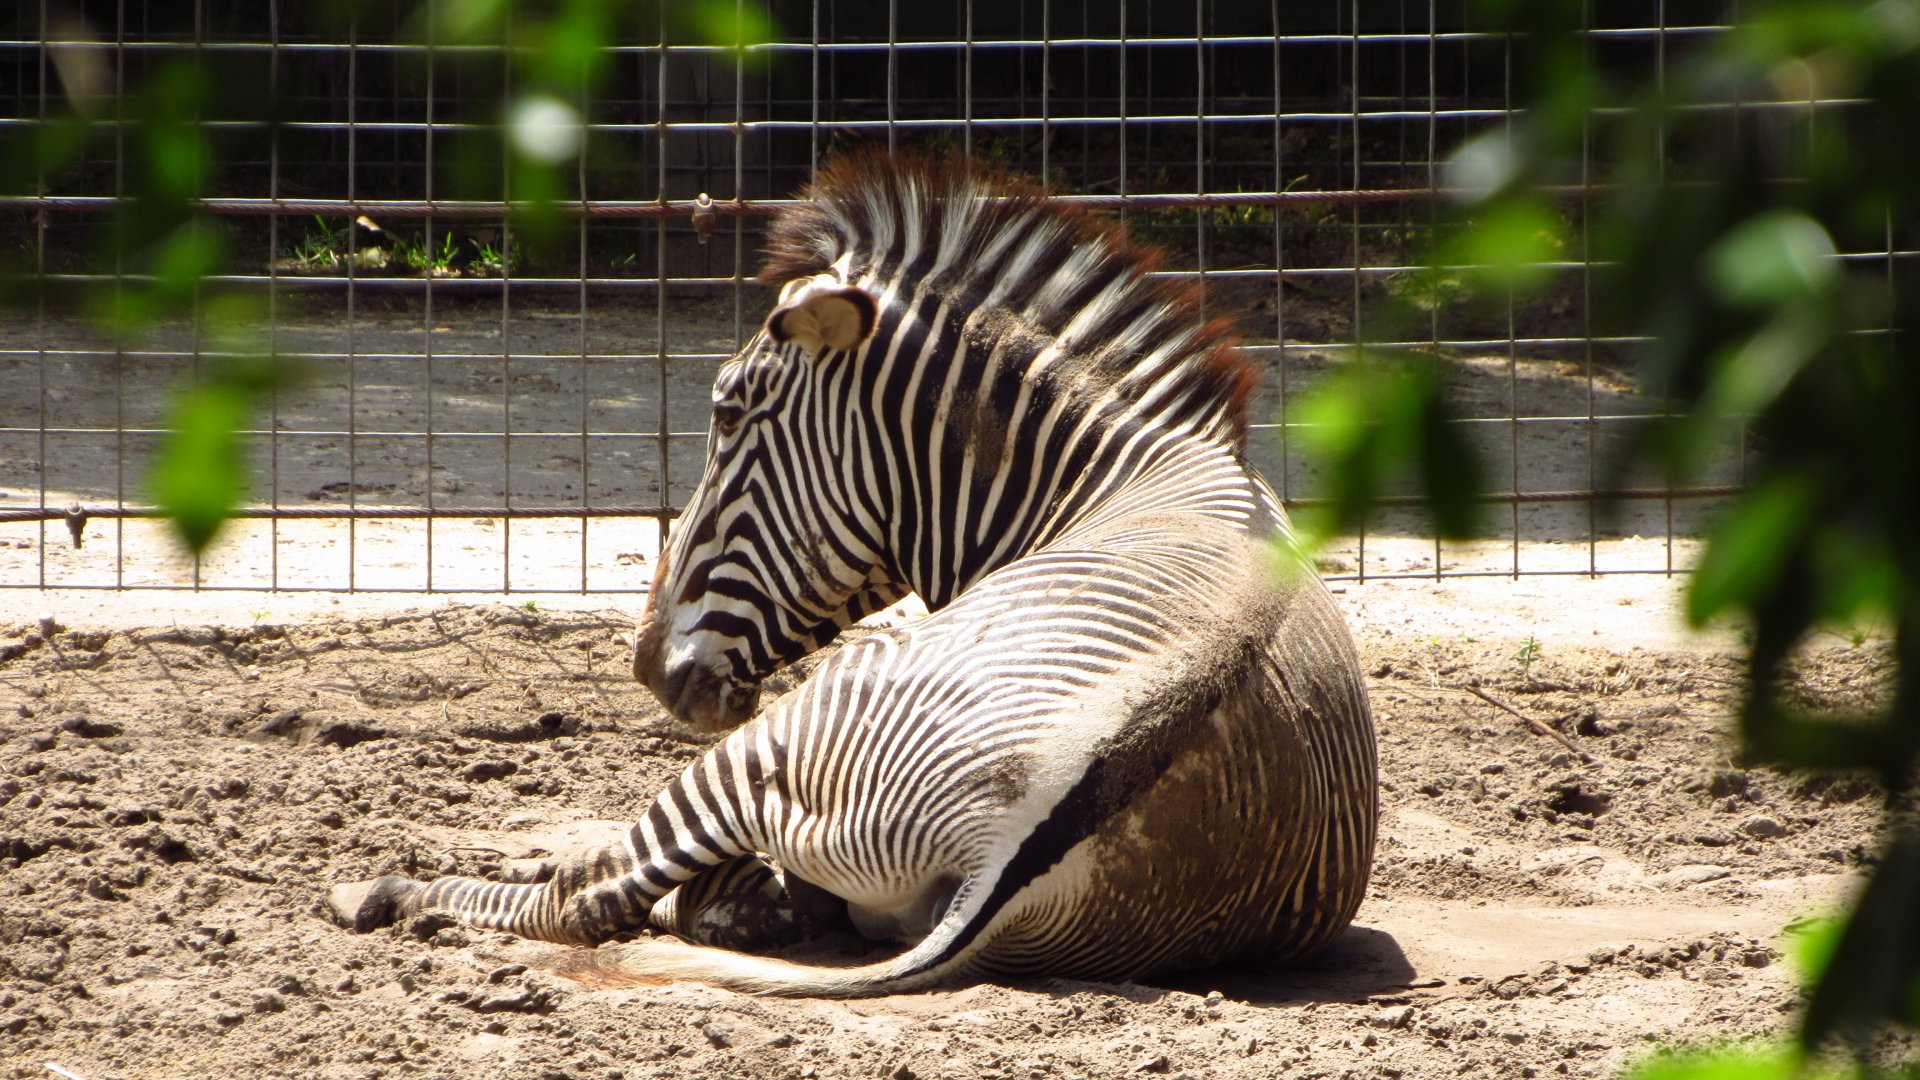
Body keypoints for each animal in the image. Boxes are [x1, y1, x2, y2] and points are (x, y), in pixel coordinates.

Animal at [327, 151, 1378, 996]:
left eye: (726, 414)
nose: (649, 668)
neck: (1132, 475)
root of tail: (1007, 845)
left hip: (785, 730)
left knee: (590, 898)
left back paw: (386, 889)